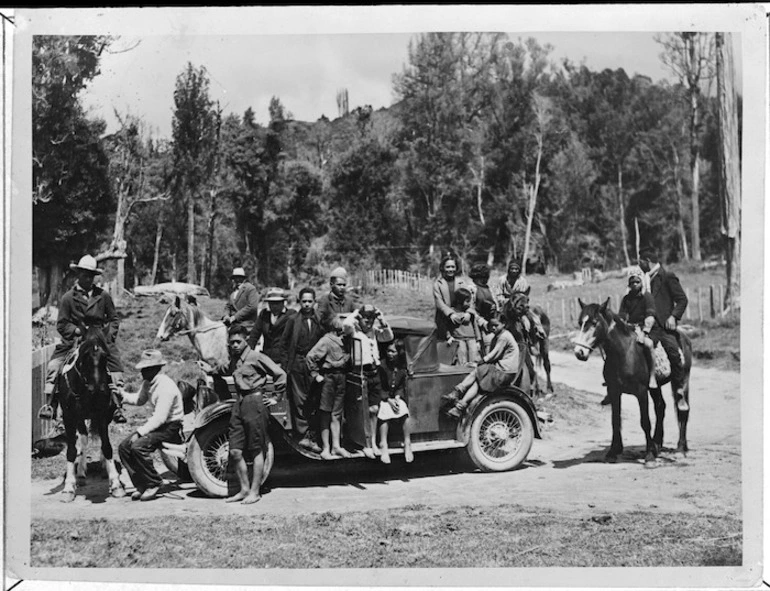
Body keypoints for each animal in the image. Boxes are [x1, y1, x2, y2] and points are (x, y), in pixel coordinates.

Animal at [58, 326, 124, 502]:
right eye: (84, 355)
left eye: (106, 355)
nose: (98, 389)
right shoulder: (69, 417)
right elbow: (72, 450)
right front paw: (69, 487)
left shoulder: (102, 414)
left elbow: (107, 446)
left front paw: (116, 484)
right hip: (80, 419)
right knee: (83, 439)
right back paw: (80, 472)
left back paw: (103, 466)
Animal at [568, 298, 688, 464]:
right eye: (580, 323)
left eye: (594, 323)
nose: (579, 352)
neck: (624, 353)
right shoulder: (614, 391)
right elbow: (615, 420)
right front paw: (613, 451)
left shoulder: (641, 392)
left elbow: (645, 422)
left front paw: (649, 456)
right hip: (655, 387)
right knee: (660, 408)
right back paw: (657, 444)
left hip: (681, 380)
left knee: (683, 409)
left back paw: (680, 449)